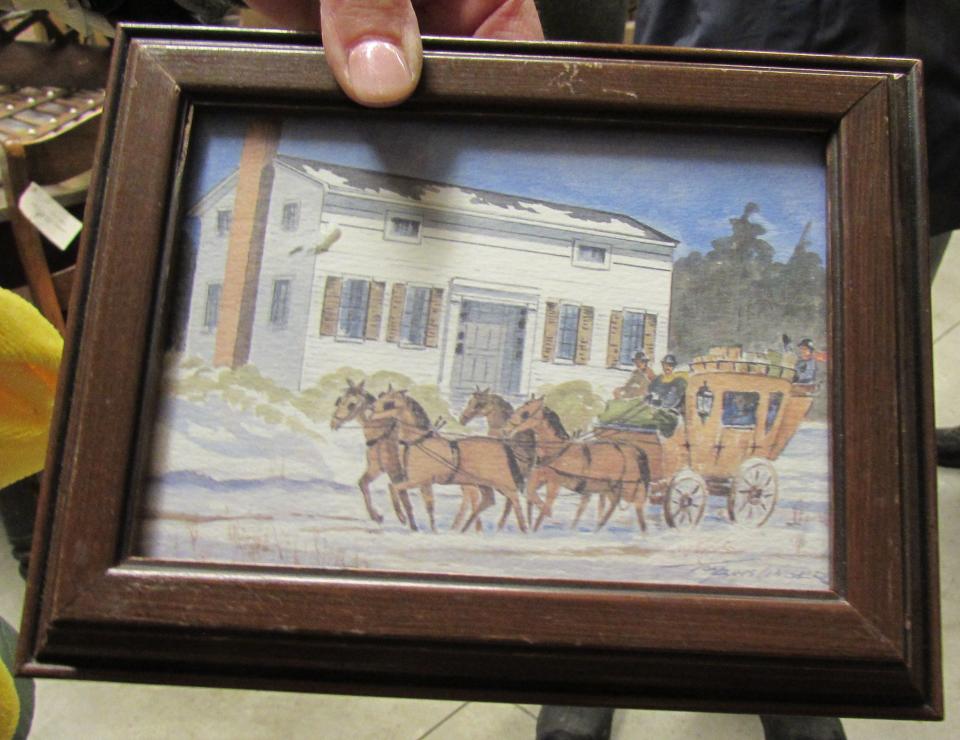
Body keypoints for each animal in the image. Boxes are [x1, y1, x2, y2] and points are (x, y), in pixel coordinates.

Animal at [332, 382, 426, 532]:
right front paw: (376, 516)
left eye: (351, 404)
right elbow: (363, 483)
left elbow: (404, 498)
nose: (333, 422)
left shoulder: (396, 472)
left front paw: (411, 524)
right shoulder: (377, 468)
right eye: (340, 400)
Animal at [372, 388, 528, 532]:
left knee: (513, 499)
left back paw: (523, 529)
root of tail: (503, 446)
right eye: (381, 397)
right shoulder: (424, 483)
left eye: (389, 403)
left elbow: (394, 487)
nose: (372, 411)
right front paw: (430, 529)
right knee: (488, 501)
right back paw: (465, 529)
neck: (419, 440)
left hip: (503, 482)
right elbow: (428, 505)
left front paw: (401, 516)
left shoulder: (419, 480)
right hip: (483, 483)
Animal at [498, 398, 648, 532]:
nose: (505, 429)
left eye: (525, 413)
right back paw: (596, 528)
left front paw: (542, 521)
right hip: (609, 487)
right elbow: (531, 494)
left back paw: (643, 532)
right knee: (612, 504)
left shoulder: (555, 483)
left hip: (629, 486)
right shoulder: (539, 479)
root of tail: (632, 449)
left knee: (638, 503)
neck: (556, 451)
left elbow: (546, 505)